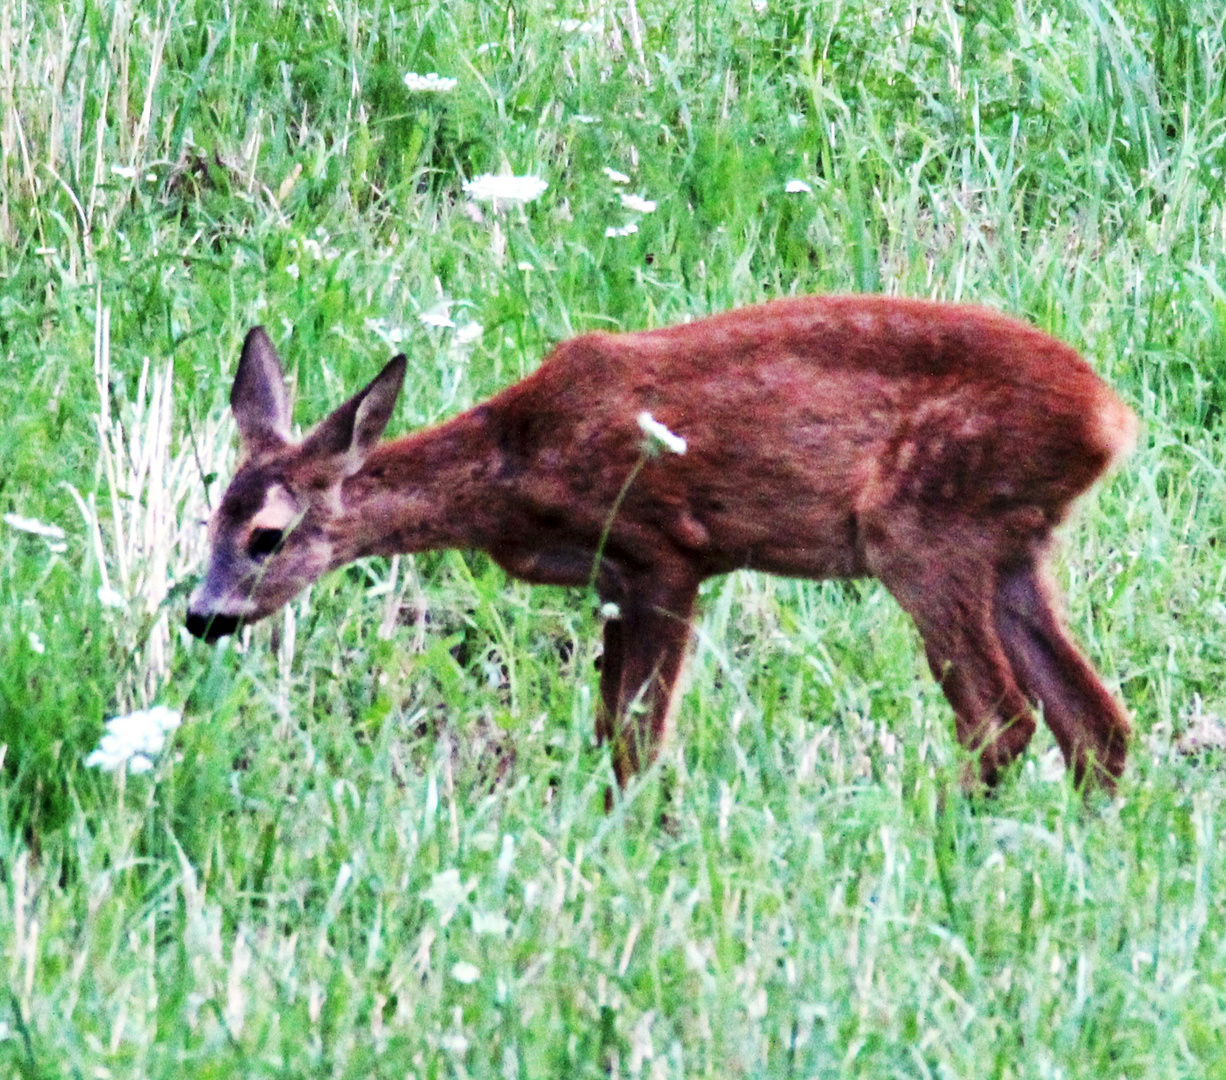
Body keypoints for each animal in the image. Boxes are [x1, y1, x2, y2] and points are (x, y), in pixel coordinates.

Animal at [186, 296, 1132, 794]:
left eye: (267, 536)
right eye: (209, 521)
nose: (202, 616)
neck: (516, 469)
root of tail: (1108, 418)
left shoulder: (664, 550)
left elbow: (636, 738)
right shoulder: (611, 581)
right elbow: (613, 725)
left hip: (921, 531)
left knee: (1001, 717)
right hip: (1011, 549)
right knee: (1094, 723)